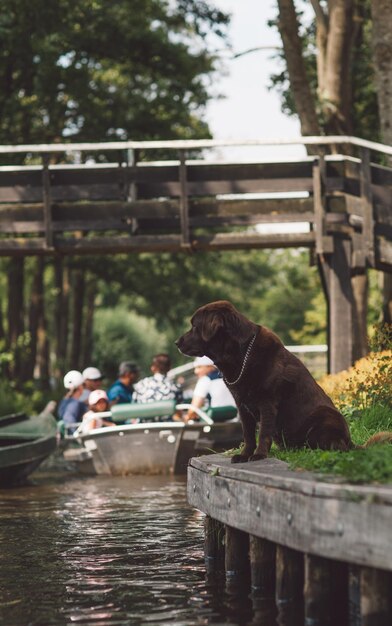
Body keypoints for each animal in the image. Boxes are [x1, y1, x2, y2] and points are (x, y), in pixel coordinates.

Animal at [176, 300, 356, 460]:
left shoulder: (267, 402)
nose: (176, 342)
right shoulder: (242, 406)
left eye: (194, 326)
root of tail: (350, 441)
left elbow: (263, 432)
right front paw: (244, 455)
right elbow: (248, 434)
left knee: (334, 446)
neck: (241, 356)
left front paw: (259, 455)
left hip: (324, 417)